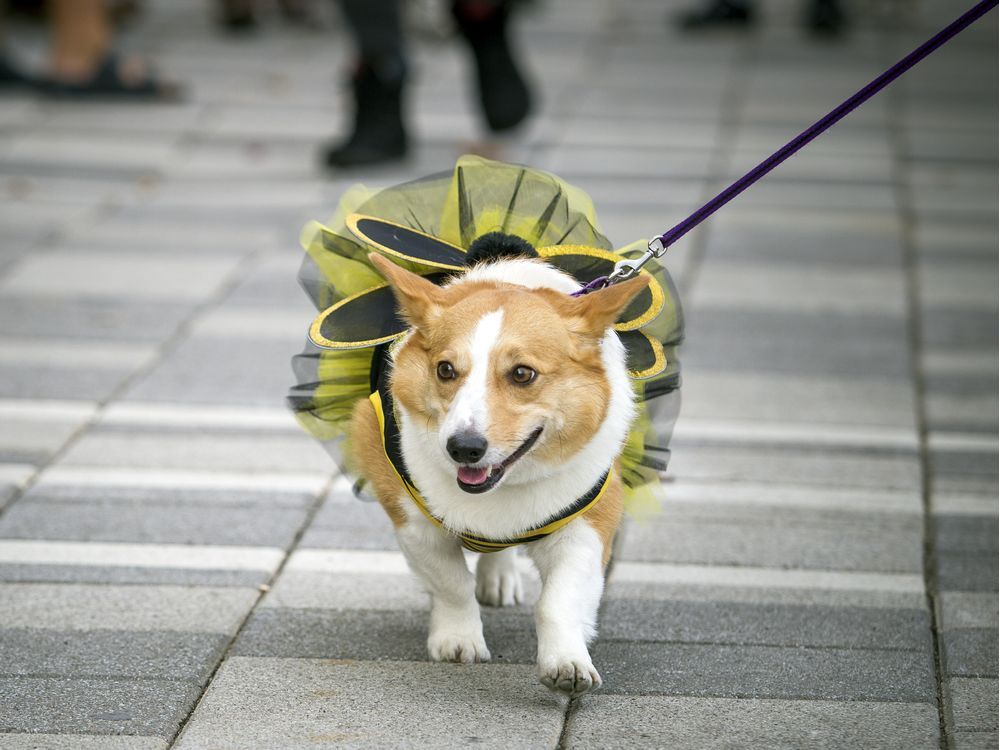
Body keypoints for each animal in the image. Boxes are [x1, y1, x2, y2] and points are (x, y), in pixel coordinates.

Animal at [352, 242, 648, 700]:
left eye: (523, 374)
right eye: (445, 370)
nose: (463, 448)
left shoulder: (590, 523)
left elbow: (558, 601)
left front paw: (567, 661)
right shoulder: (413, 522)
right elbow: (452, 584)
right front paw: (458, 640)